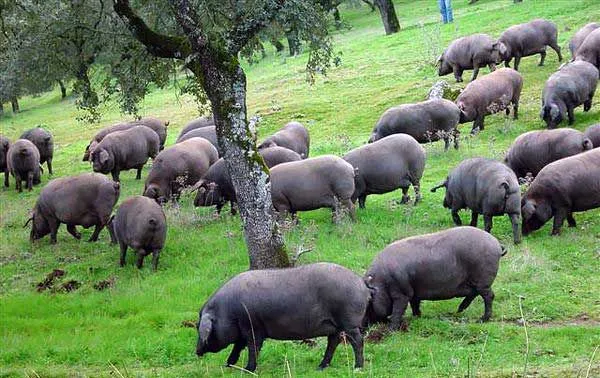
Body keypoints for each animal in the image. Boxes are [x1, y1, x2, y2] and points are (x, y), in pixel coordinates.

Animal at [196, 262, 370, 372]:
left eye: (199, 327)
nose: (197, 351)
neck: (227, 312)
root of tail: (362, 284)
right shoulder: (242, 330)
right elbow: (238, 347)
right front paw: (228, 365)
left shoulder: (252, 326)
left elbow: (253, 347)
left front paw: (247, 370)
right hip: (334, 325)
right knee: (333, 342)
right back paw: (321, 367)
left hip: (349, 321)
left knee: (357, 341)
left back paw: (357, 368)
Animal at [366, 226, 506, 330]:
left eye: (368, 303)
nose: (366, 326)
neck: (382, 283)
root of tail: (496, 244)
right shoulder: (413, 291)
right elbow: (415, 304)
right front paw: (417, 317)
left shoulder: (401, 293)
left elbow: (397, 311)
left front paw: (391, 330)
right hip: (475, 282)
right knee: (474, 293)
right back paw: (459, 310)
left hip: (483, 280)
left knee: (489, 296)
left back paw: (482, 319)